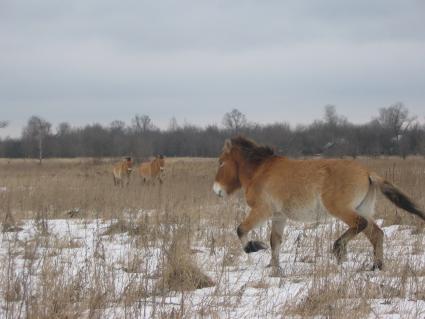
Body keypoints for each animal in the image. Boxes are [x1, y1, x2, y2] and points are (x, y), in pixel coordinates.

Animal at [212, 136, 424, 274]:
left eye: (221, 162)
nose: (216, 190)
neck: (260, 171)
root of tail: (368, 172)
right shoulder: (279, 216)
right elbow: (275, 242)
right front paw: (275, 268)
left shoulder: (261, 211)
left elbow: (241, 229)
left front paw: (254, 247)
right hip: (363, 209)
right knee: (376, 234)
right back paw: (376, 267)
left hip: (341, 209)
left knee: (360, 224)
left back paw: (339, 250)